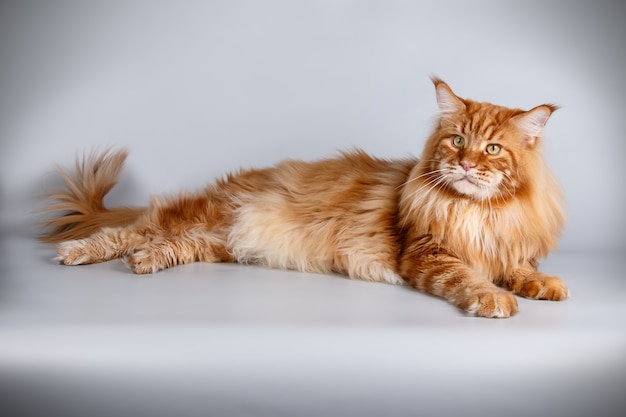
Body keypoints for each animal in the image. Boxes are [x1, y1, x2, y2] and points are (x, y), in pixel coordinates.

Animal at [37, 78, 564, 316]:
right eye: (457, 141)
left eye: (492, 148)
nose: (468, 165)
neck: (474, 211)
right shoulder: (428, 254)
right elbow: (470, 278)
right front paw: (494, 298)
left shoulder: (507, 244)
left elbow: (520, 267)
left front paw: (544, 285)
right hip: (199, 217)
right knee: (126, 232)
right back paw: (77, 252)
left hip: (216, 241)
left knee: (164, 245)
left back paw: (144, 262)